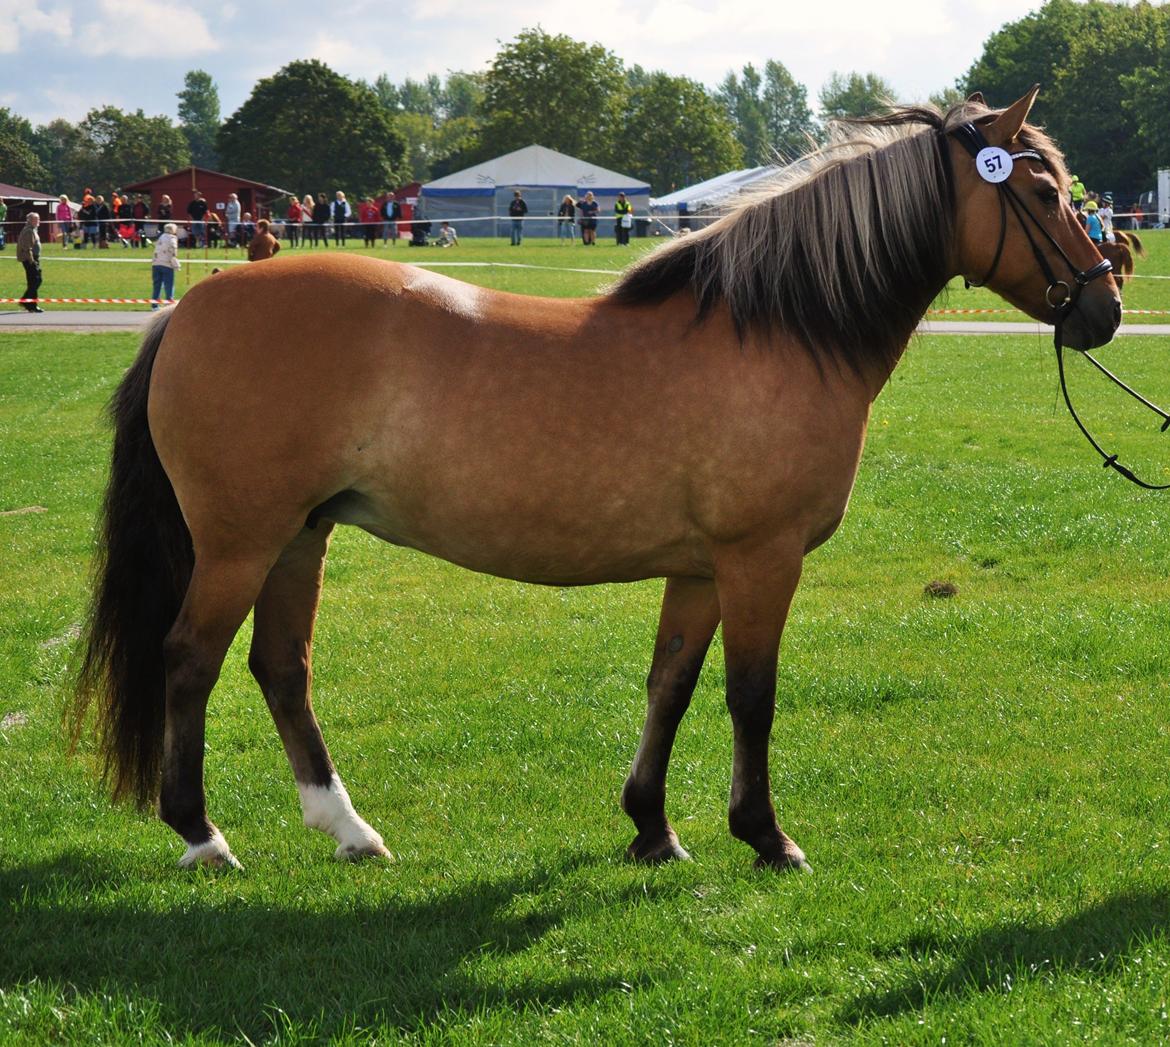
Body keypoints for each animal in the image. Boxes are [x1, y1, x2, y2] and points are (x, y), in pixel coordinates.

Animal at [75, 87, 1123, 870]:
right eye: (1040, 192)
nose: (1106, 306)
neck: (777, 329)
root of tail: (192, 306)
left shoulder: (699, 568)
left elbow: (671, 685)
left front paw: (652, 827)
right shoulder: (761, 559)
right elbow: (751, 695)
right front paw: (766, 835)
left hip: (300, 535)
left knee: (280, 668)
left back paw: (349, 829)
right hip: (240, 541)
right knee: (190, 658)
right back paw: (202, 834)